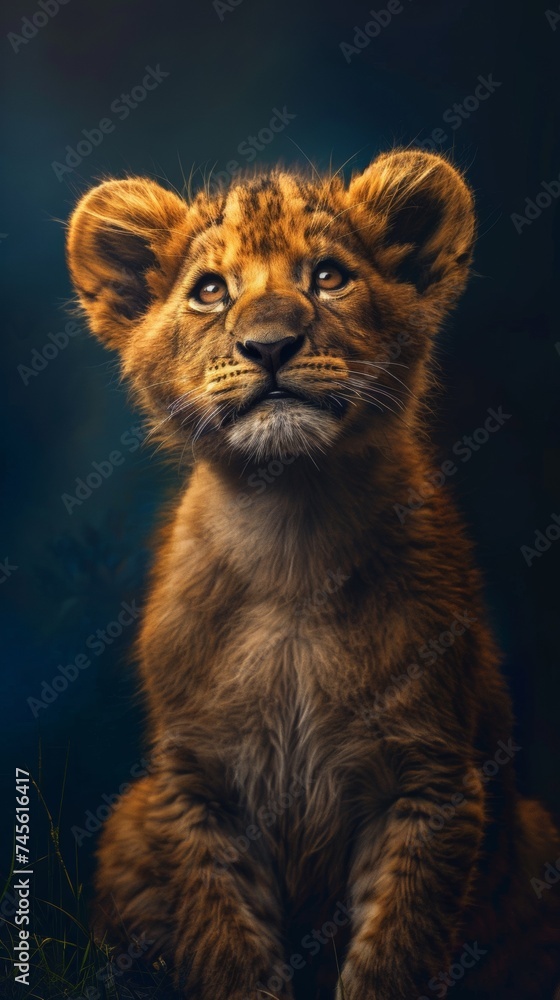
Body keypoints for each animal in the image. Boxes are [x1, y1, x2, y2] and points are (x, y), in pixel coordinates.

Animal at [67, 151, 560, 999]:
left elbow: (394, 952)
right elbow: (229, 947)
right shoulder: (195, 787)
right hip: (129, 819)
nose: (271, 345)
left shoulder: (431, 780)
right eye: (210, 290)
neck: (291, 530)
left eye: (328, 277)